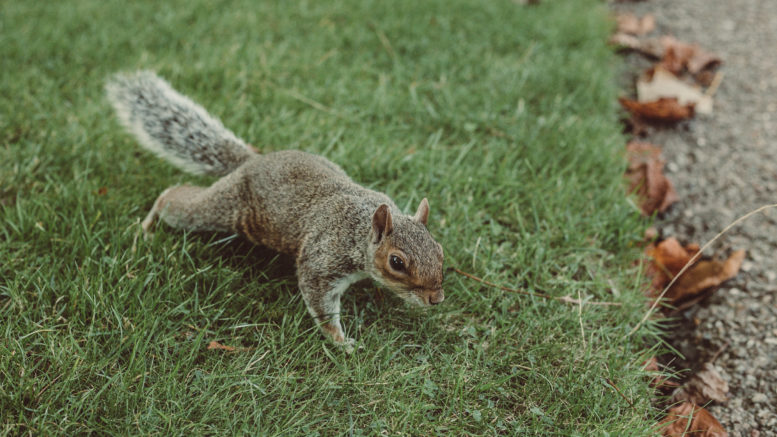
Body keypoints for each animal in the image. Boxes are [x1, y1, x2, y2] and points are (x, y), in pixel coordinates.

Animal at [104, 71, 442, 350]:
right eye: (396, 262)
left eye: (439, 249)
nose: (436, 299)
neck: (359, 227)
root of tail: (251, 161)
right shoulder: (322, 258)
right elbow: (320, 300)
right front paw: (341, 341)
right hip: (223, 209)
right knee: (173, 200)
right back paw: (147, 225)